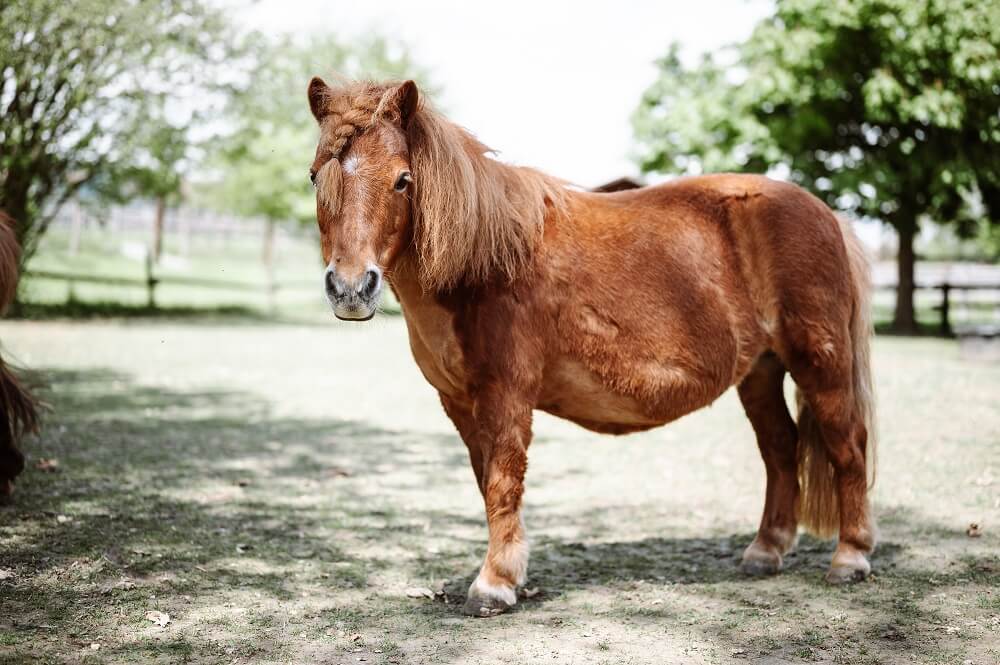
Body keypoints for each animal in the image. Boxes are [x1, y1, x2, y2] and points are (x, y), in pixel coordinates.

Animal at [302, 80, 876, 616]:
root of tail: (827, 214)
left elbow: (503, 480)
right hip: (760, 371)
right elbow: (485, 481)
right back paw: (765, 551)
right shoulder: (459, 402)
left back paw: (850, 557)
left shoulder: (506, 393)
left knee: (847, 446)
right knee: (780, 449)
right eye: (315, 176)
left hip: (820, 362)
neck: (487, 261)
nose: (350, 288)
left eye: (403, 179)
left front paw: (495, 585)